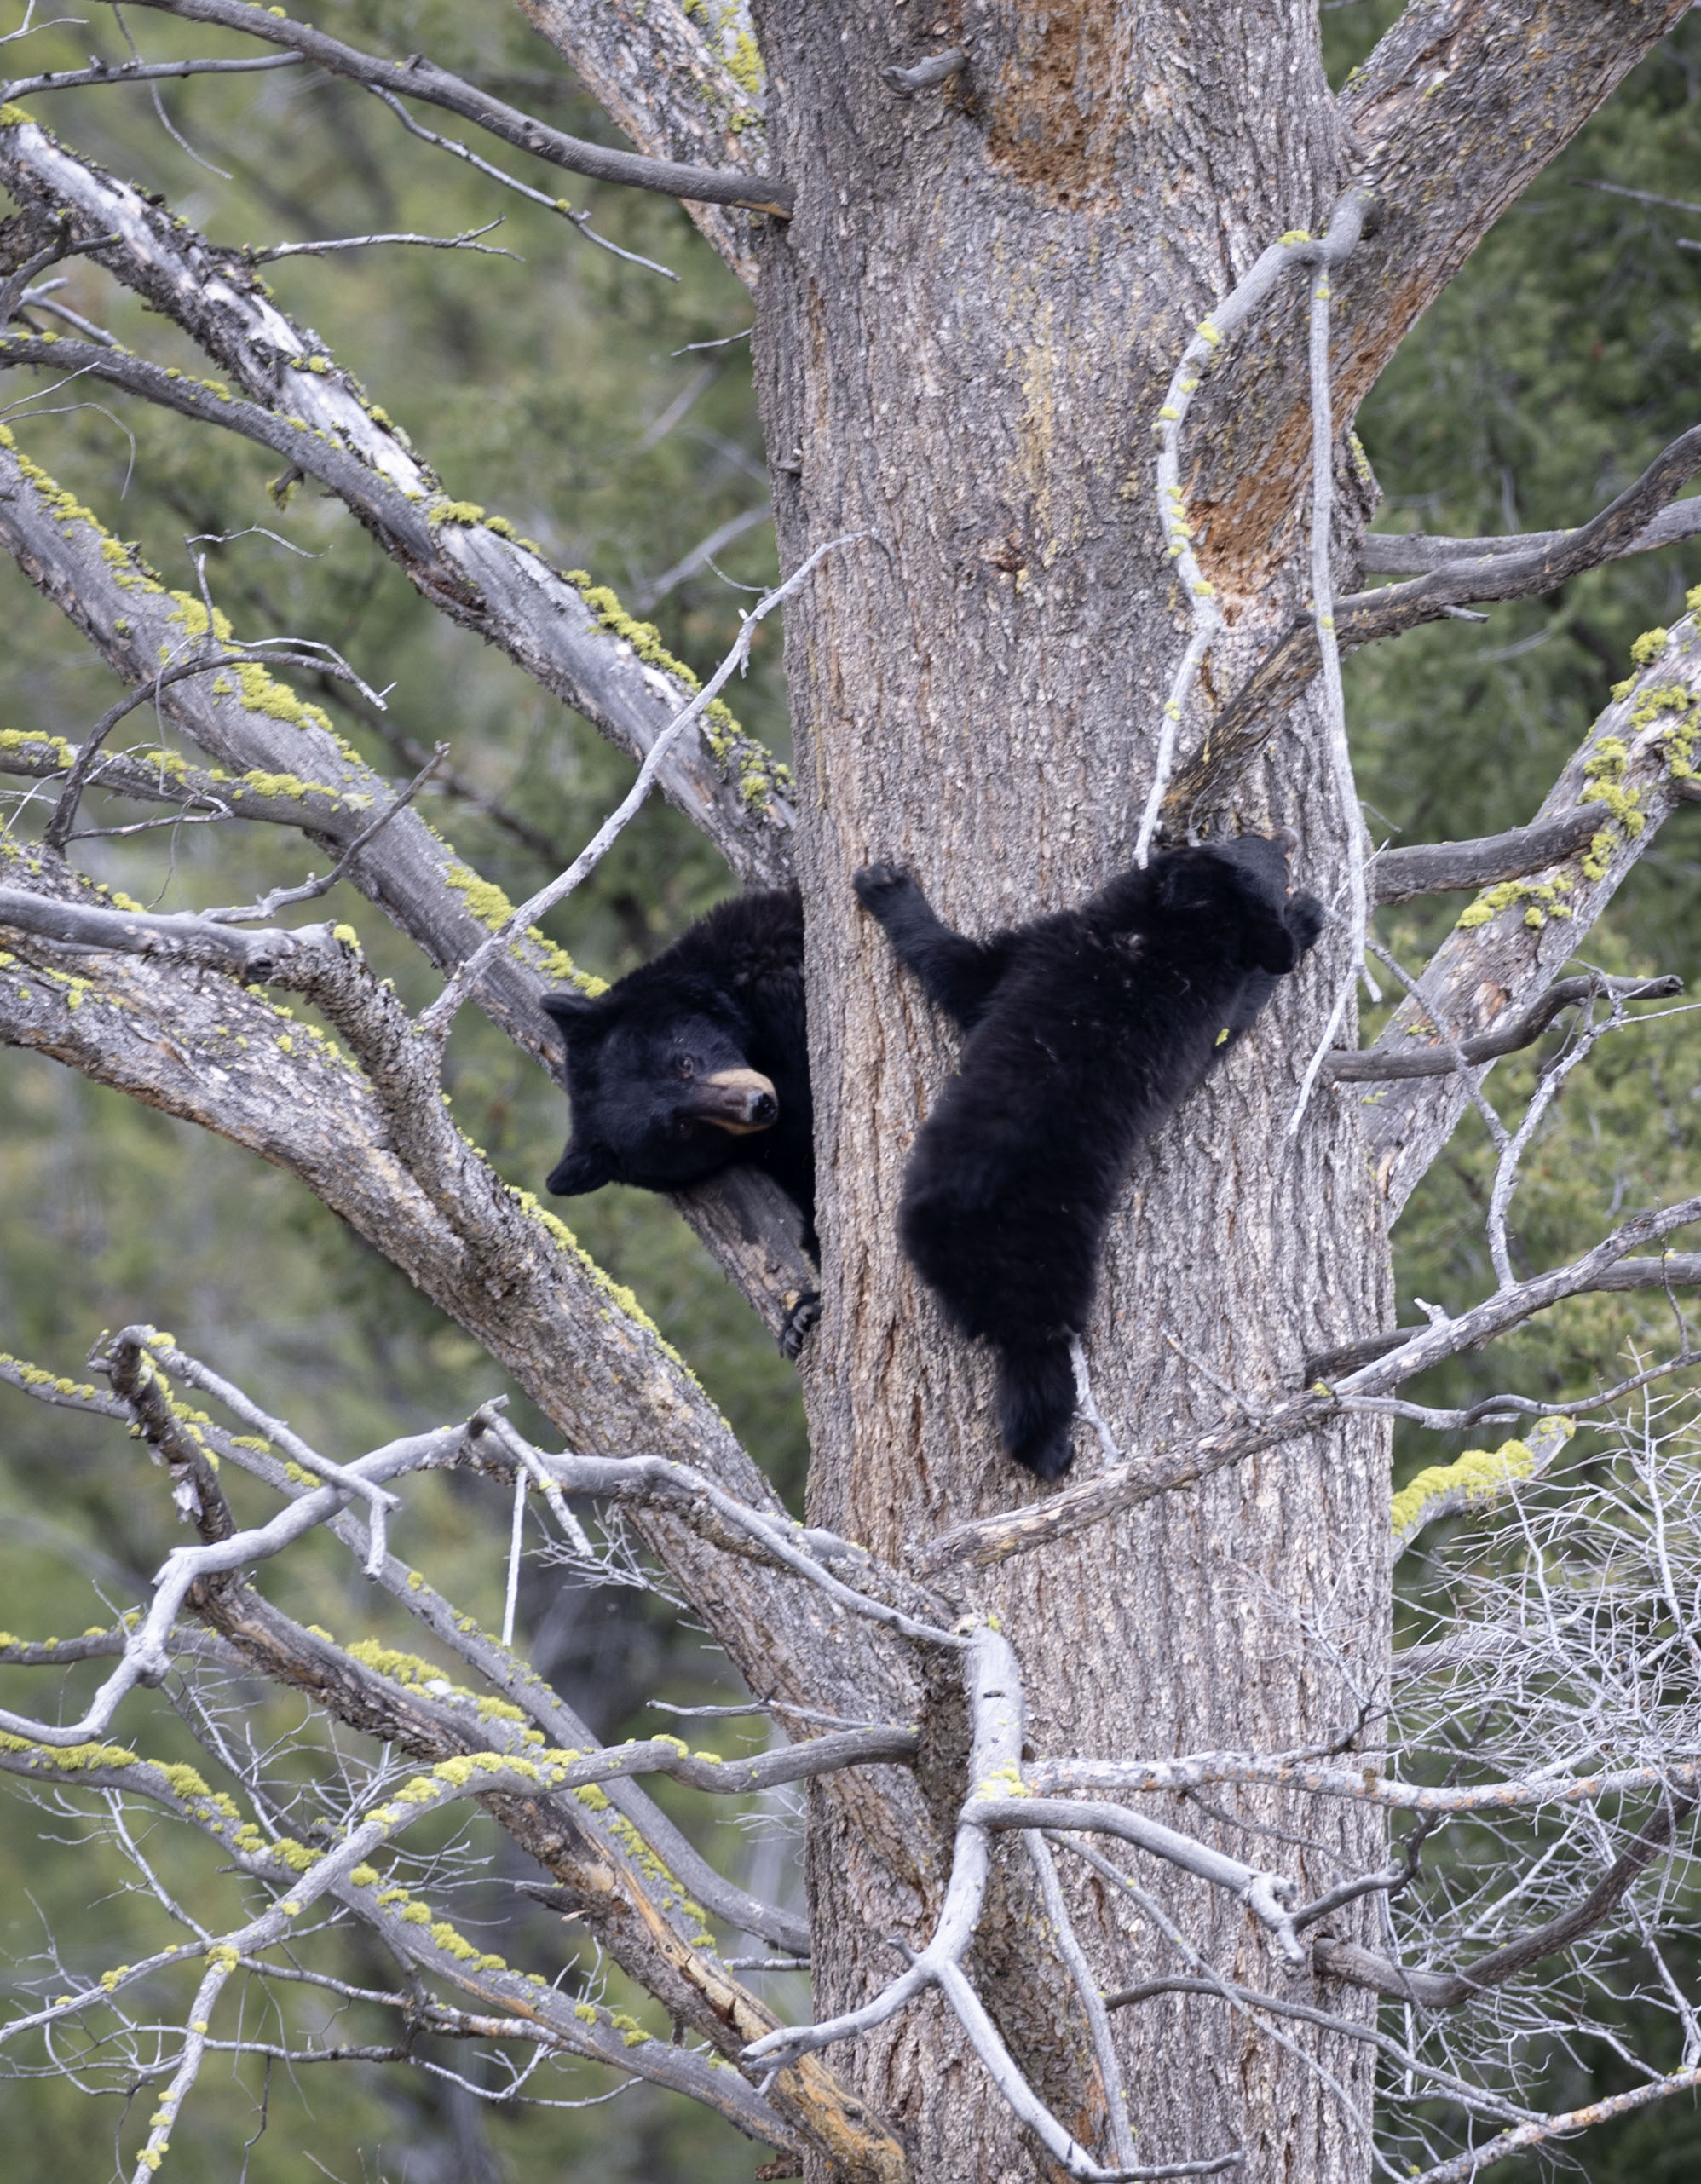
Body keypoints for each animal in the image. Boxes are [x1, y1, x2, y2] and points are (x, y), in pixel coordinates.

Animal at [854, 832, 1323, 1481]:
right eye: (1246, 850)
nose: (1278, 838)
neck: (1172, 941)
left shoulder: (1057, 957)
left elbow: (963, 970)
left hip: (1049, 1266)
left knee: (1037, 1352)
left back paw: (1045, 1447)